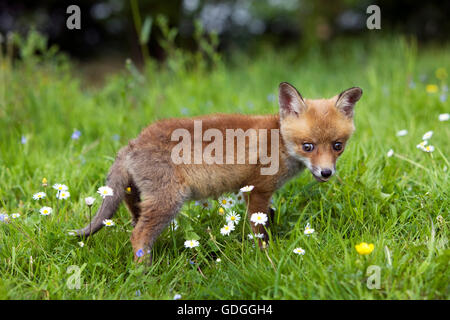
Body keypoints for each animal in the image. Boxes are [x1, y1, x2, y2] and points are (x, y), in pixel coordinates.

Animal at [74, 82, 362, 262]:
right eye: (308, 146)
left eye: (337, 146)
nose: (326, 173)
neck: (278, 141)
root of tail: (132, 143)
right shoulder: (257, 189)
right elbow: (260, 230)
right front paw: (266, 255)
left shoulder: (256, 192)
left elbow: (268, 218)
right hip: (168, 200)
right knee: (139, 235)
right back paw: (144, 273)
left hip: (138, 196)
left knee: (135, 224)